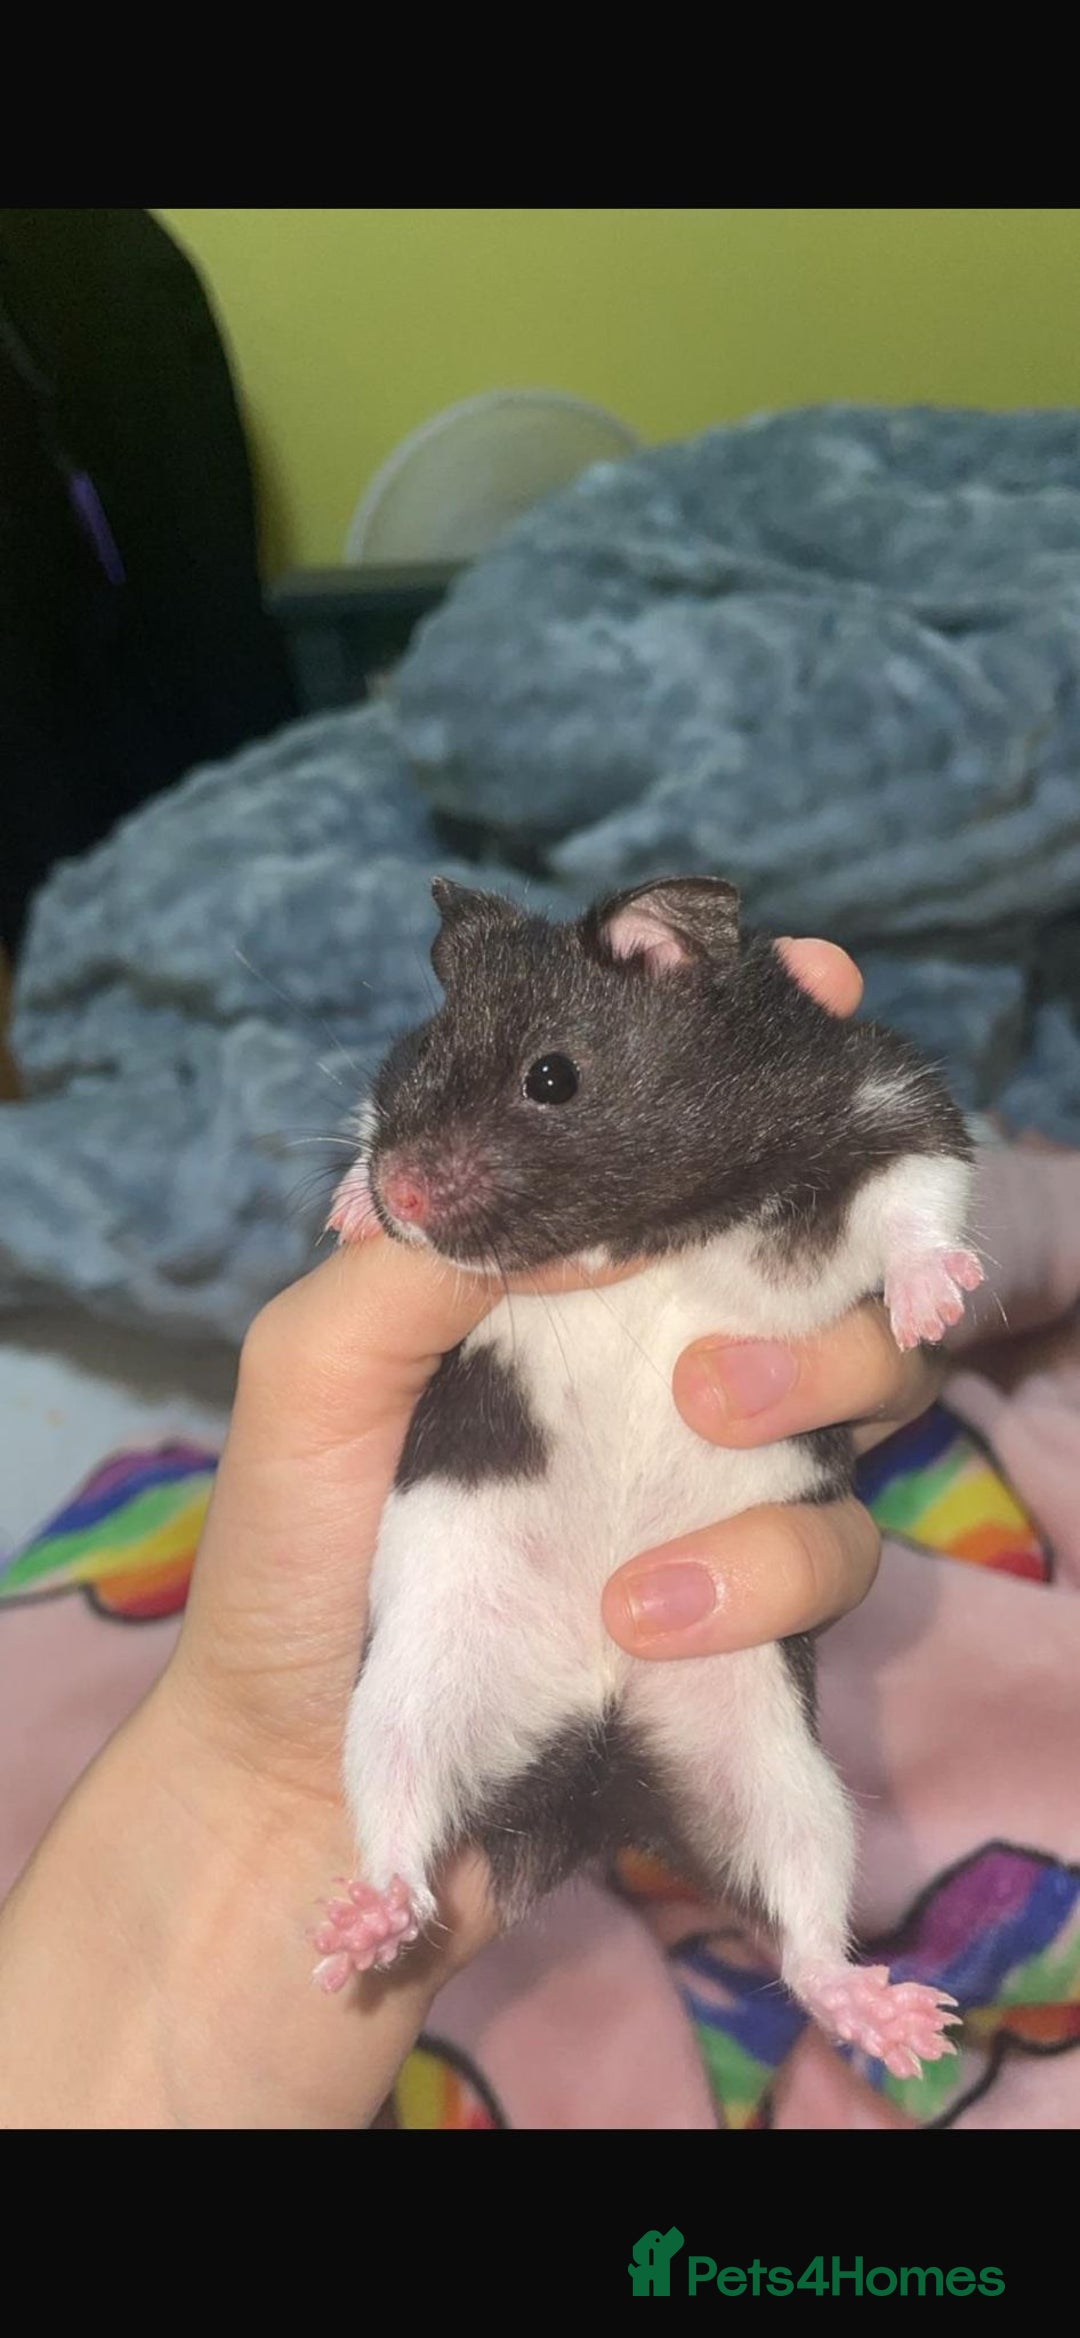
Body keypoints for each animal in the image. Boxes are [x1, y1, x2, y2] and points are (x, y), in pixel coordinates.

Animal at [316, 875, 983, 2077]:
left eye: (552, 1076)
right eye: (423, 1044)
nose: (403, 1196)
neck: (652, 1218)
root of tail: (598, 1767)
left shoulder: (889, 1103)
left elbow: (922, 1198)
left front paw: (931, 1311)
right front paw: (348, 1208)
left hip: (788, 1775)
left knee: (804, 1930)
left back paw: (907, 2030)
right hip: (403, 1699)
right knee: (399, 1824)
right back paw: (362, 1927)